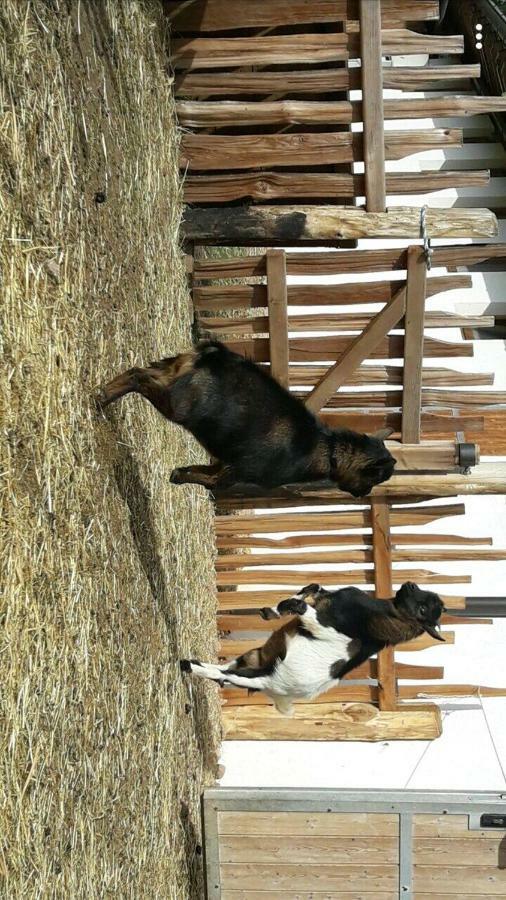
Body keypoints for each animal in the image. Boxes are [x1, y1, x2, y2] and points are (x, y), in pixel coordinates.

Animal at [96, 340, 396, 496]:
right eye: (376, 478)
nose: (365, 494)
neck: (325, 450)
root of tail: (215, 354)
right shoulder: (237, 473)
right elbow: (212, 484)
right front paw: (179, 478)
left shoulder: (223, 462)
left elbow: (197, 471)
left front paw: (178, 474)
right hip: (179, 404)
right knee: (138, 377)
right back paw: (101, 399)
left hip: (171, 371)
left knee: (137, 370)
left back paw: (101, 395)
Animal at [180, 584, 444, 716]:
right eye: (427, 598)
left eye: (422, 610)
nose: (410, 584)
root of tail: (278, 692)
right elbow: (313, 588)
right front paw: (271, 610)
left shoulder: (322, 626)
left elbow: (300, 605)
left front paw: (279, 608)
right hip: (254, 656)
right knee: (225, 667)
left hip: (258, 675)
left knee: (223, 674)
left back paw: (186, 664)